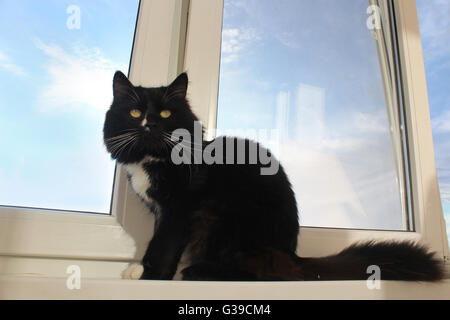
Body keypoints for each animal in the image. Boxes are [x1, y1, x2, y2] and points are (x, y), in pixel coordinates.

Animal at [103, 71, 444, 282]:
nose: (150, 125)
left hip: (228, 222)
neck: (153, 159)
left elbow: (163, 246)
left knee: (264, 273)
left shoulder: (179, 210)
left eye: (165, 113)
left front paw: (148, 275)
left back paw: (199, 271)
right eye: (135, 113)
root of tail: (292, 254)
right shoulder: (162, 210)